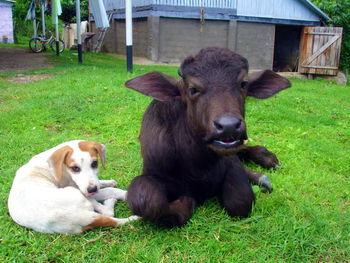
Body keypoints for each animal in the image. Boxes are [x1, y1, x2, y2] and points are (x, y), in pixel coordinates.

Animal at [7, 140, 138, 235]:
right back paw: (110, 201)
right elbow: (111, 191)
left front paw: (108, 182)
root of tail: (81, 217)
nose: (92, 190)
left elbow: (100, 183)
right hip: (77, 193)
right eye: (75, 168)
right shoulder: (80, 188)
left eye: (94, 164)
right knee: (108, 212)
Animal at [125, 46, 290, 228]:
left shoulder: (231, 160)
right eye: (192, 89)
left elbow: (241, 200)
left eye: (243, 84)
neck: (199, 165)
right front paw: (186, 202)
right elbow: (147, 201)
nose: (228, 126)